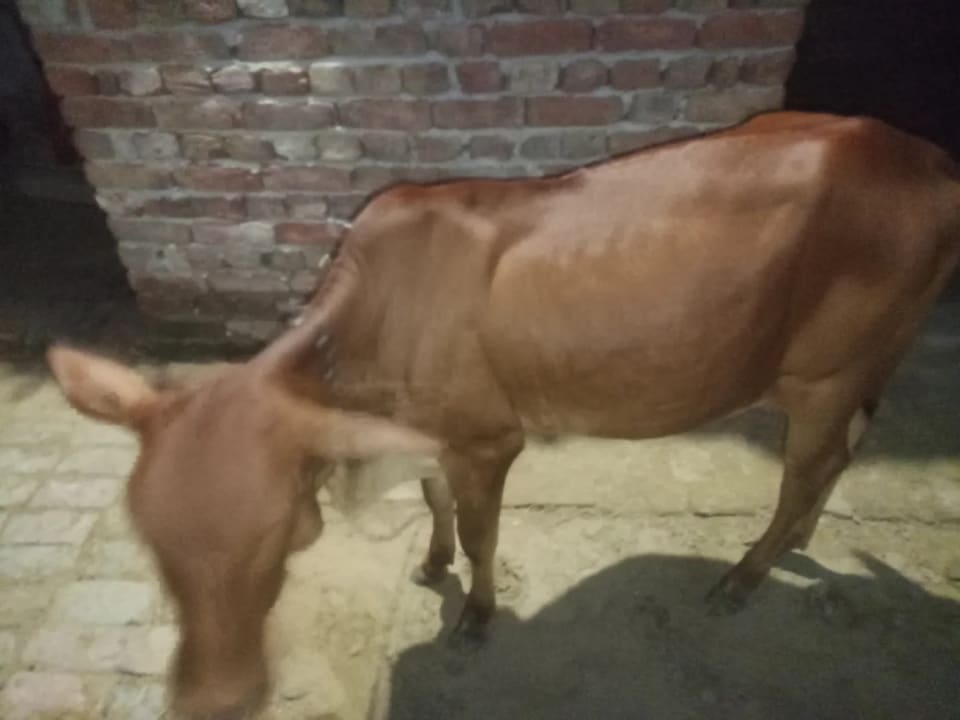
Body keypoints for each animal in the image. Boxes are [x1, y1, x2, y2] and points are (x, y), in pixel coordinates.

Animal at [47, 112, 960, 719]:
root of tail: (919, 155)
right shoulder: (427, 439)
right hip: (859, 370)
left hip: (825, 374)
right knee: (843, 454)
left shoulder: (489, 440)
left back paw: (746, 573)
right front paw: (431, 561)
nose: (215, 699)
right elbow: (437, 506)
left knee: (809, 467)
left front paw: (476, 615)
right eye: (149, 535)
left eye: (279, 532)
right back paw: (799, 541)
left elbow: (485, 534)